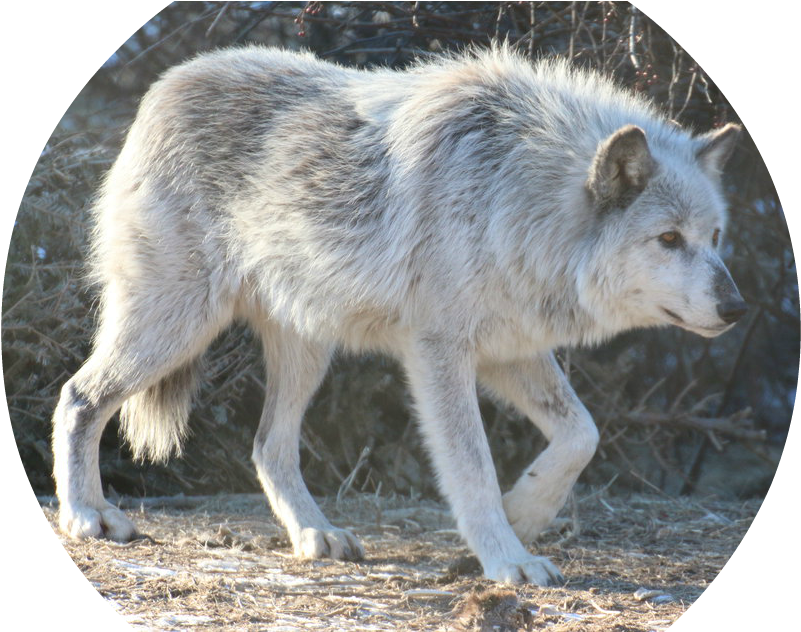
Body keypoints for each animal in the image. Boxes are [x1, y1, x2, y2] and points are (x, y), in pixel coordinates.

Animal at [51, 45, 746, 585]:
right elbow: (472, 468)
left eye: (714, 237)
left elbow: (583, 435)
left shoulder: (510, 349)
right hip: (176, 325)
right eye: (669, 240)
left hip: (305, 350)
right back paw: (87, 515)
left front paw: (526, 513)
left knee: (268, 446)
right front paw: (508, 559)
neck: (512, 195)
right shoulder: (439, 353)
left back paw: (316, 535)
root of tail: (164, 86)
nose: (737, 307)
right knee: (79, 396)